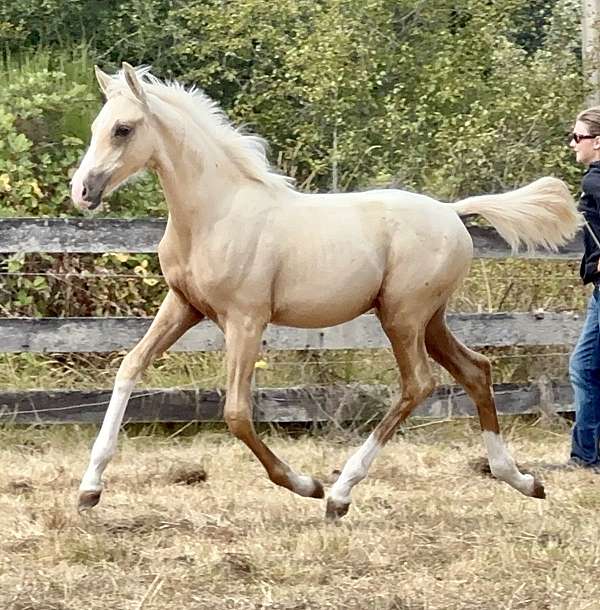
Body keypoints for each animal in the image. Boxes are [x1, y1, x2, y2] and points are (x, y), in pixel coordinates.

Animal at [71, 64, 580, 520]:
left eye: (122, 128)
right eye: (96, 126)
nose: (82, 191)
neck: (215, 213)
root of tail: (452, 212)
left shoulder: (246, 319)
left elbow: (236, 413)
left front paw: (304, 484)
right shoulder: (183, 306)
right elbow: (130, 367)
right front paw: (89, 490)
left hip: (402, 316)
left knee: (418, 384)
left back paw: (339, 494)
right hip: (429, 318)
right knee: (476, 371)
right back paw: (523, 480)